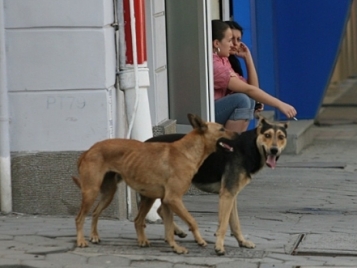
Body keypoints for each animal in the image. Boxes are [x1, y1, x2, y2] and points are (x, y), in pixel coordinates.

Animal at [71, 113, 236, 253]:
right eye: (222, 128)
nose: (238, 134)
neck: (187, 152)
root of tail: (89, 150)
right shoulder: (173, 199)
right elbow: (192, 221)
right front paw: (200, 240)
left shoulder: (167, 202)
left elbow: (169, 229)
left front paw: (175, 247)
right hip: (91, 192)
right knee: (79, 218)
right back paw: (81, 241)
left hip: (112, 195)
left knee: (97, 213)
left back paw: (95, 236)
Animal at [146, 117, 288, 255]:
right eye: (267, 135)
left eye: (281, 137)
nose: (274, 150)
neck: (250, 147)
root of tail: (146, 141)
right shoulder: (227, 195)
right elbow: (224, 224)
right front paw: (219, 246)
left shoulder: (232, 195)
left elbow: (235, 223)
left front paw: (242, 242)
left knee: (160, 209)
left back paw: (177, 231)